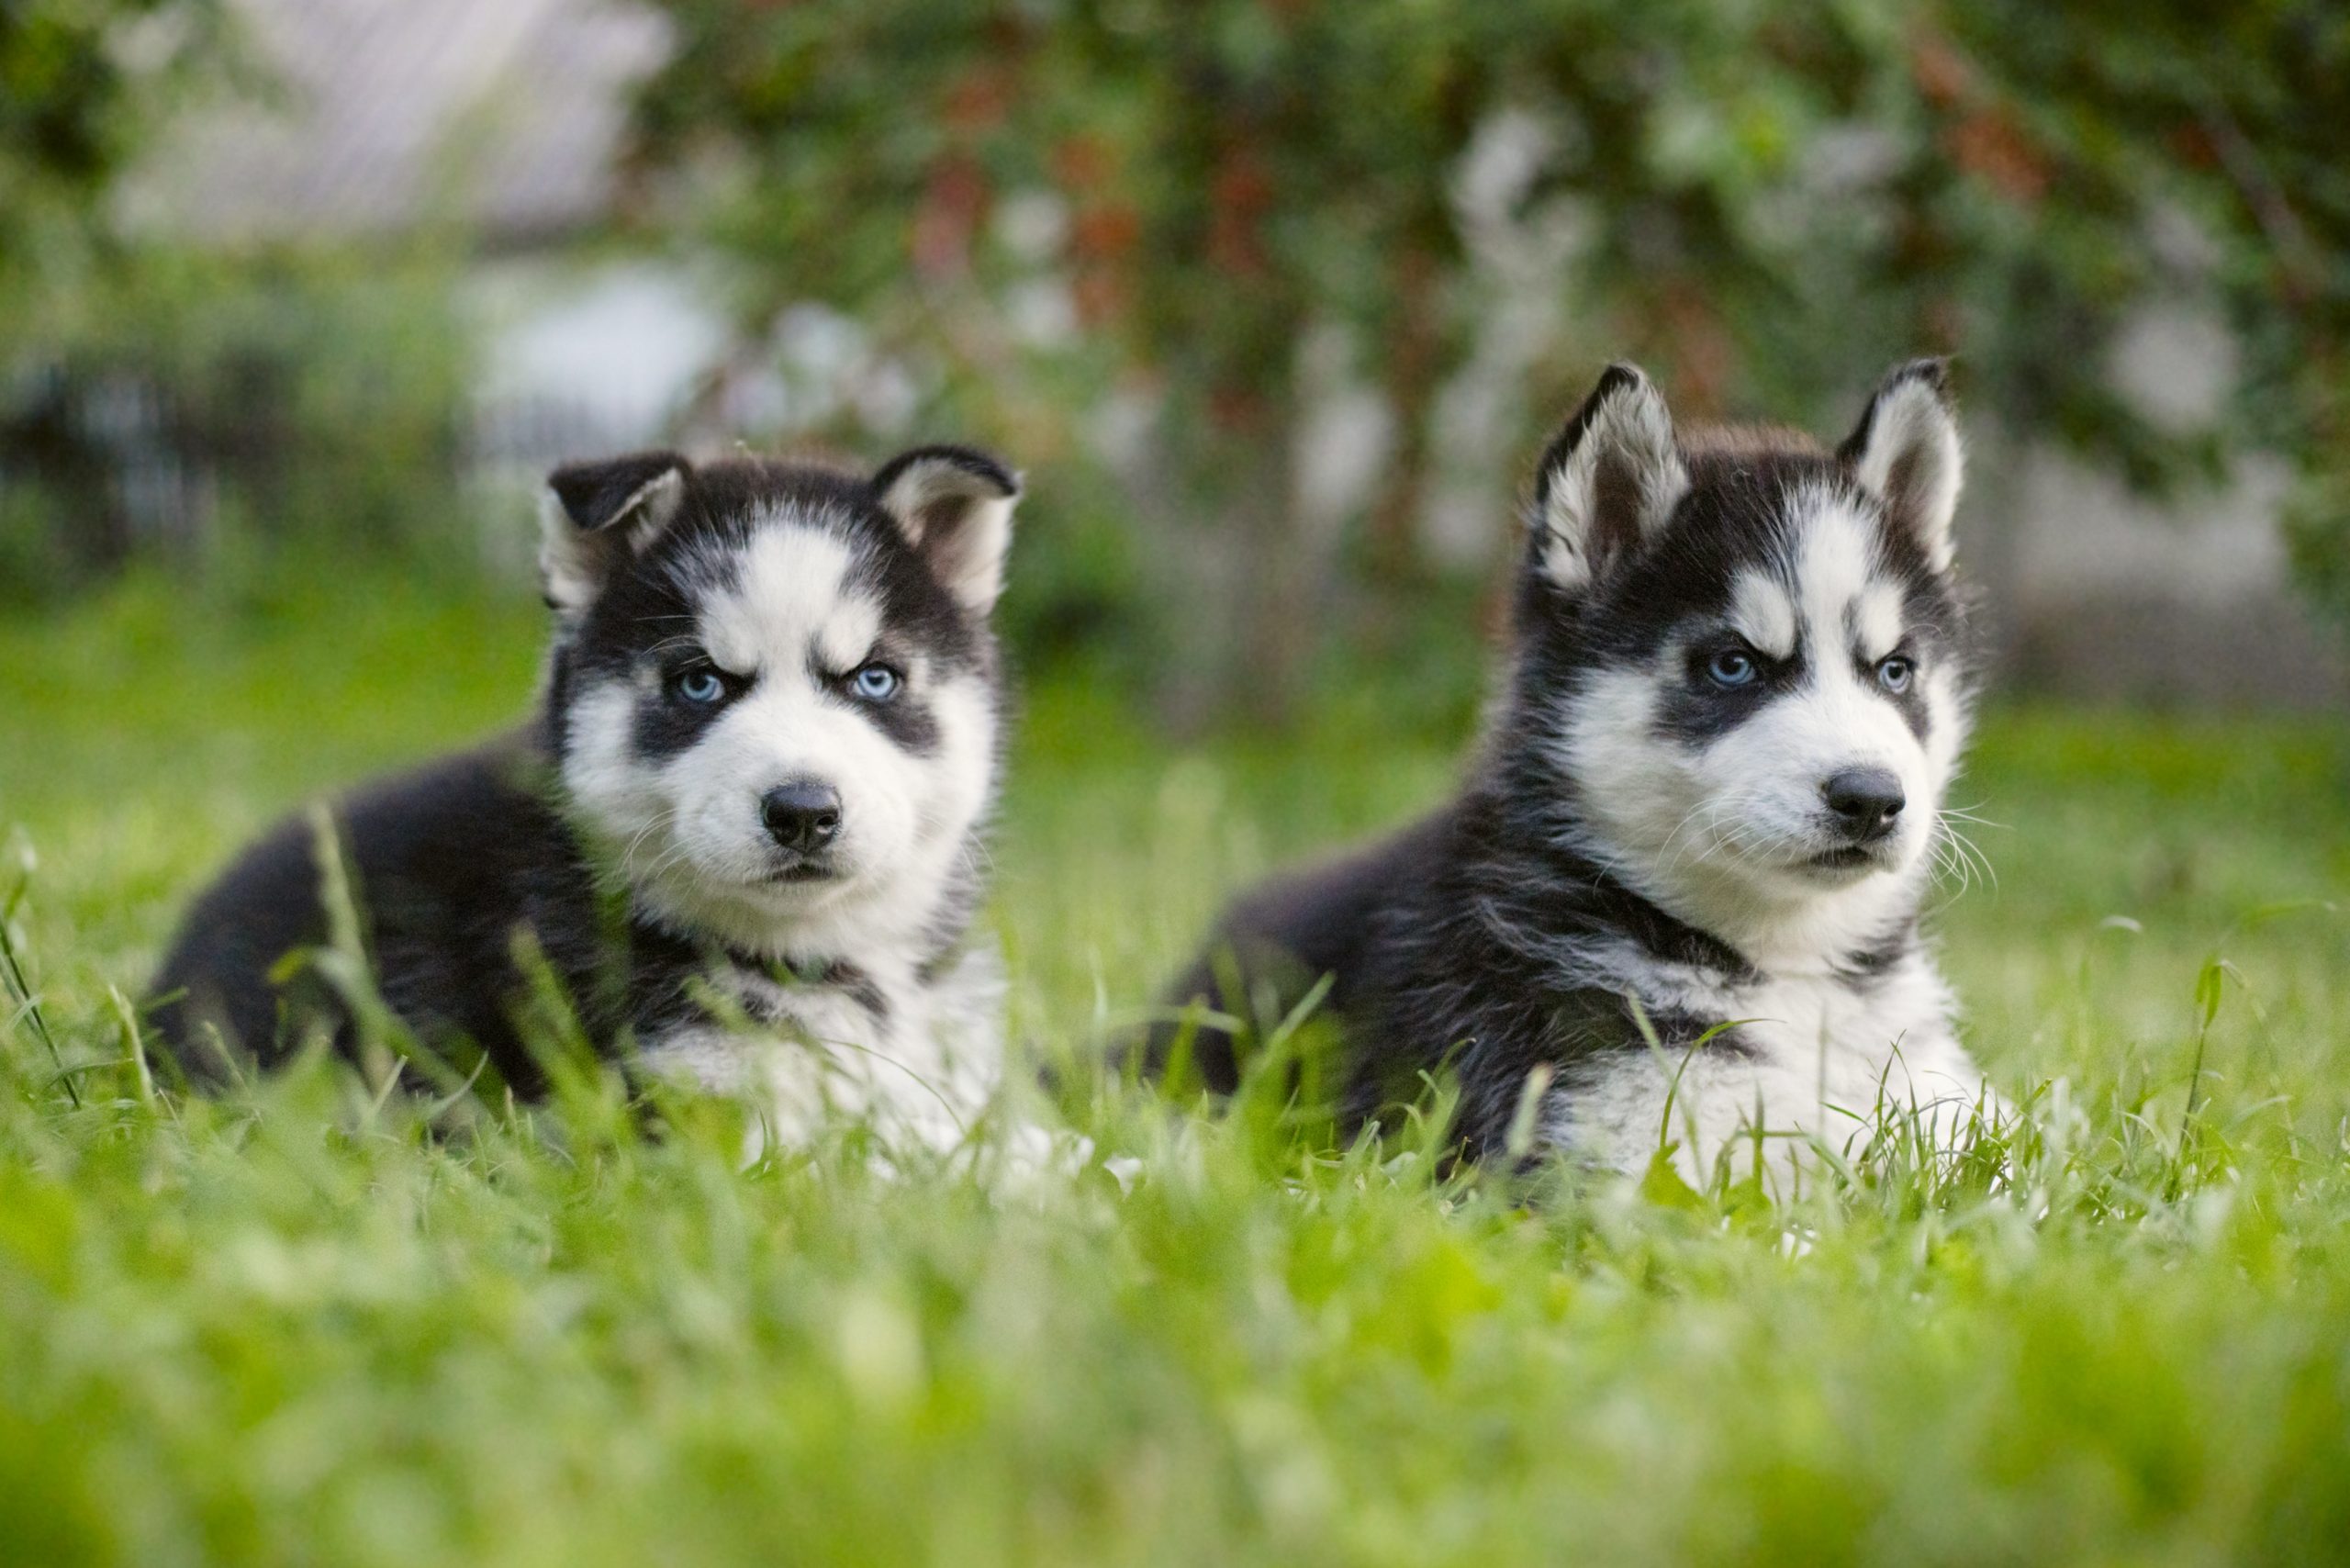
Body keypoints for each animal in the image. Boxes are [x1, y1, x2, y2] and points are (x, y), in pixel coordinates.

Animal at [1156, 359, 2002, 1189]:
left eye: (1894, 671)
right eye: (1733, 666)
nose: (1872, 799)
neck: (1790, 971)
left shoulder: (1949, 1110)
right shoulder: (1609, 1153)